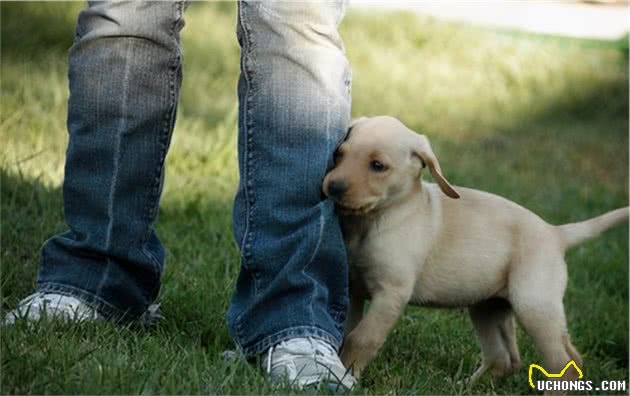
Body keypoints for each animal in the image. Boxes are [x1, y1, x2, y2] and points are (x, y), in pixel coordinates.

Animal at [324, 115, 628, 384]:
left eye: (377, 165)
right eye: (338, 154)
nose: (333, 187)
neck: (372, 220)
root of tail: (555, 233)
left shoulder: (391, 294)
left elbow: (362, 337)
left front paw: (346, 375)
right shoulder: (353, 289)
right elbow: (345, 330)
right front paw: (337, 365)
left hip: (534, 304)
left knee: (564, 360)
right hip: (488, 307)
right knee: (505, 359)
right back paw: (463, 386)